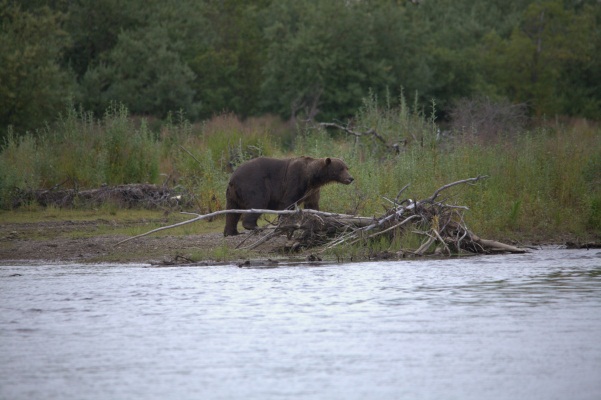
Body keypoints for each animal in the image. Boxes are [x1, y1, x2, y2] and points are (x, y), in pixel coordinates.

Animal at [221, 156, 352, 236]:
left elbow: (313, 205)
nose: (351, 178)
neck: (312, 177)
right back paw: (255, 227)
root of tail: (233, 178)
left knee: (232, 211)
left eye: (347, 167)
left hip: (232, 194)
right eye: (341, 169)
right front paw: (285, 225)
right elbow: (288, 202)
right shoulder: (295, 180)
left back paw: (231, 232)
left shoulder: (312, 191)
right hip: (254, 184)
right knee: (258, 202)